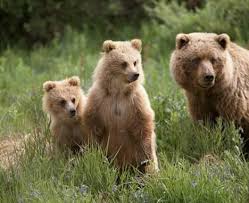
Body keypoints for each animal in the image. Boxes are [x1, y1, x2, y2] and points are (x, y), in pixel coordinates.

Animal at [83, 38, 158, 172]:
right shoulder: (99, 99)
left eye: (135, 61)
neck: (118, 92)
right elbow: (93, 123)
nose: (135, 74)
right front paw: (94, 152)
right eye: (124, 63)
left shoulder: (136, 101)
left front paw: (147, 159)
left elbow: (144, 125)